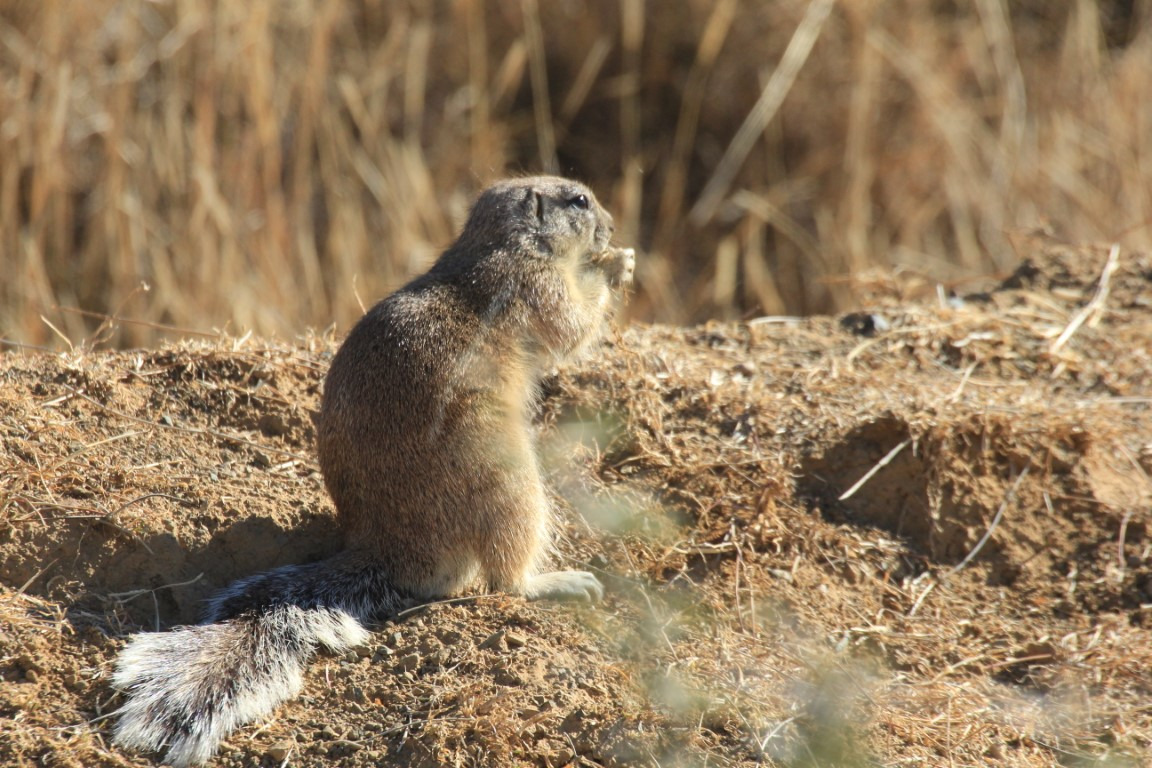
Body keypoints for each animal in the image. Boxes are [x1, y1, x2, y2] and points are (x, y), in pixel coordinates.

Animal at [110, 176, 635, 767]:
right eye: (579, 200)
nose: (613, 225)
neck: (499, 244)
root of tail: (388, 548)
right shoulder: (536, 286)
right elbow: (572, 326)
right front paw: (618, 262)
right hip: (514, 484)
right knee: (506, 581)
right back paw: (560, 582)